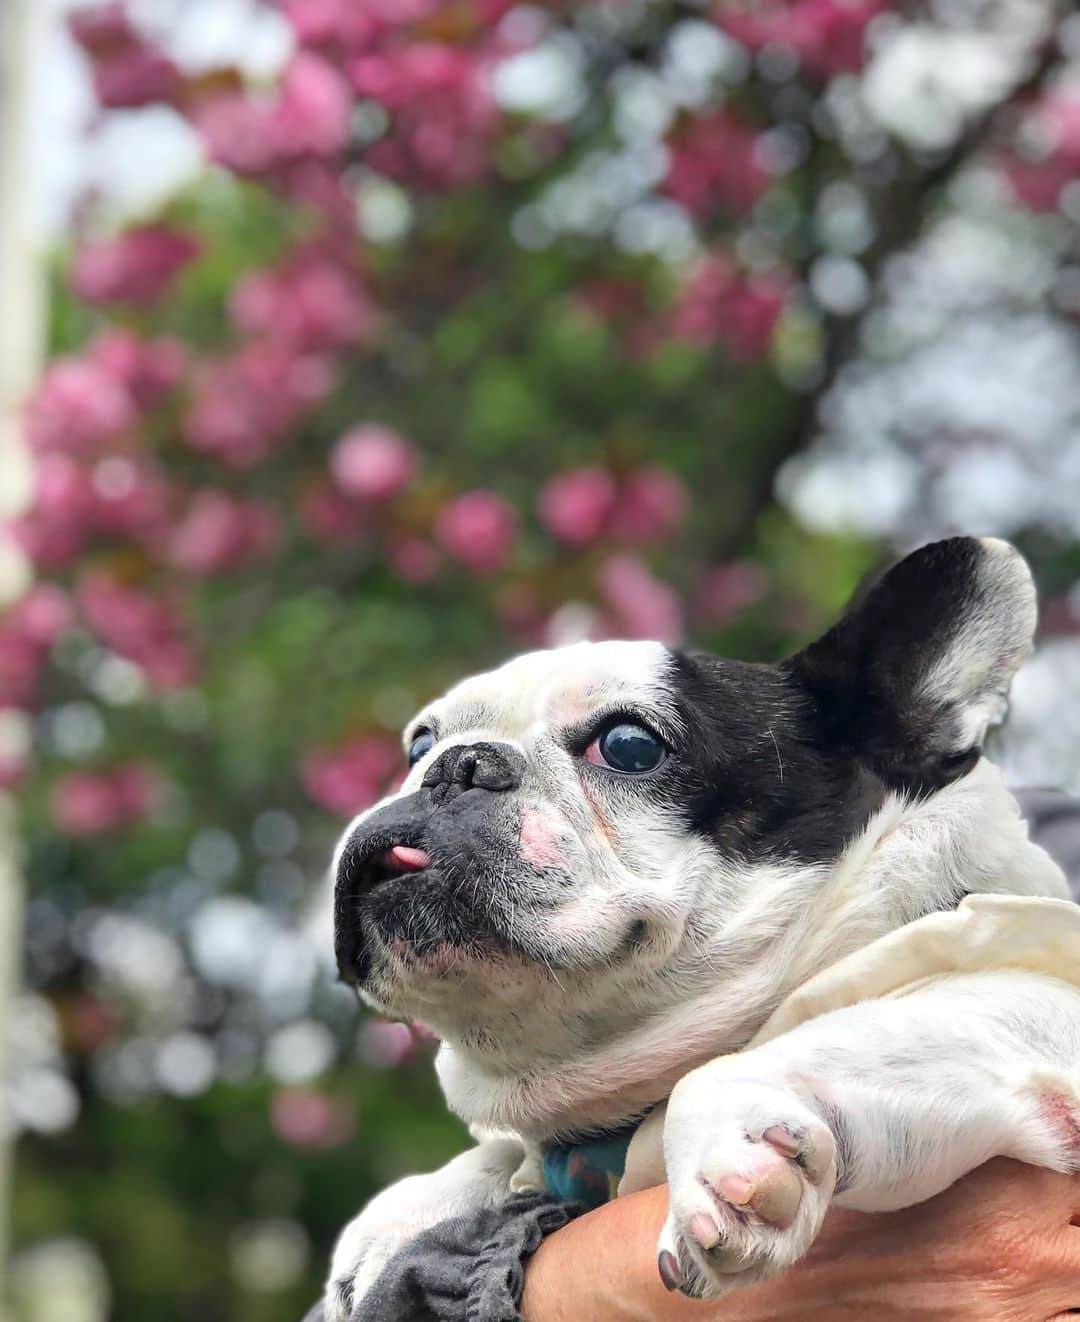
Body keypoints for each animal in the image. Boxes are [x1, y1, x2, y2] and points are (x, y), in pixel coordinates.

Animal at [319, 536, 1078, 1311]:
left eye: (629, 745)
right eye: (418, 745)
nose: (457, 765)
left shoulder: (1032, 1003)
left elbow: (857, 1030)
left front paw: (726, 1141)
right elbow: (503, 1151)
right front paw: (406, 1212)